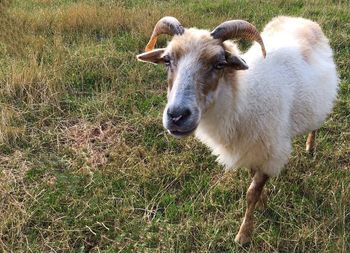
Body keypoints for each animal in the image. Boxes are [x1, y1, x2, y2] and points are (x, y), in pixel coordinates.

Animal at [136, 16, 336, 245]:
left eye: (219, 64)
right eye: (168, 60)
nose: (177, 116)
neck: (243, 98)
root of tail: (300, 20)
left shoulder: (270, 152)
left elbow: (251, 194)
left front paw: (244, 234)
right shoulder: (250, 148)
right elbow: (254, 182)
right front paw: (263, 203)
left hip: (319, 103)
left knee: (315, 125)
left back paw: (310, 146)